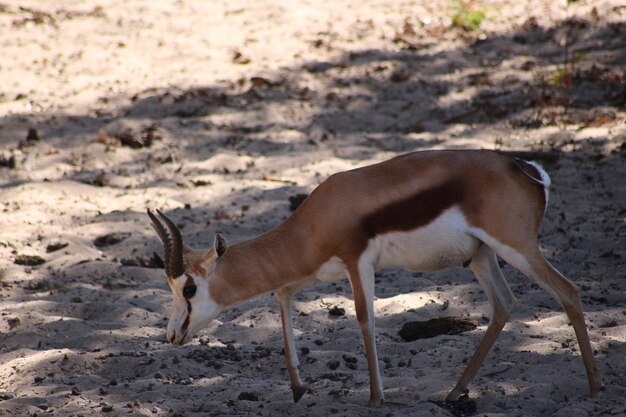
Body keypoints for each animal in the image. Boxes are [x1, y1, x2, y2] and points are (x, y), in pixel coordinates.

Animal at [146, 150, 600, 406]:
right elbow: (281, 295)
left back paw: (595, 389)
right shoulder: (315, 271)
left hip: (516, 247)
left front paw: (375, 398)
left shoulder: (357, 263)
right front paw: (298, 388)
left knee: (570, 291)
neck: (320, 214)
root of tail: (525, 168)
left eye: (189, 287)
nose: (171, 335)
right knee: (505, 304)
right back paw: (454, 394)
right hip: (481, 256)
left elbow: (365, 321)